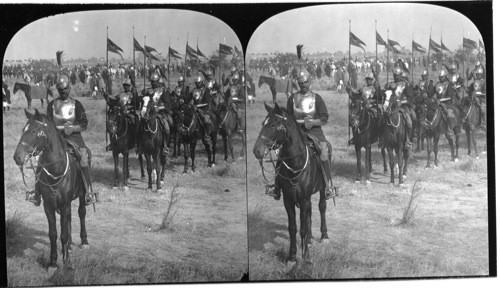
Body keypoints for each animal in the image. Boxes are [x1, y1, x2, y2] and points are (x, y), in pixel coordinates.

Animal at [13, 109, 90, 268]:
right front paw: (53, 261)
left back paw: (84, 241)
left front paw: (66, 262)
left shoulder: (65, 204)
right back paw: (70, 246)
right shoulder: (48, 205)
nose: (17, 157)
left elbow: (63, 234)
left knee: (81, 213)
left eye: (34, 131)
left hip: (81, 195)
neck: (56, 170)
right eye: (23, 130)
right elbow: (53, 233)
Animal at [252, 103, 330, 264]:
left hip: (321, 190)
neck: (296, 163)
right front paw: (292, 256)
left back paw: (324, 236)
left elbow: (303, 228)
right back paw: (310, 240)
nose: (257, 151)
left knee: (322, 207)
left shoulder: (304, 199)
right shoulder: (288, 200)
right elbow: (293, 228)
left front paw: (306, 257)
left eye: (274, 124)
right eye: (263, 123)